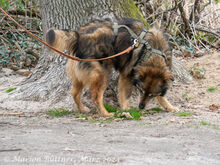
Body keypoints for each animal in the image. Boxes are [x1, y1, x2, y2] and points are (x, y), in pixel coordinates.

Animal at [46, 17, 179, 116]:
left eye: (151, 94)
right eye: (141, 90)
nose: (141, 107)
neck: (153, 53)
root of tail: (79, 37)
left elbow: (162, 97)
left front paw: (170, 107)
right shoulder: (127, 75)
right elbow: (125, 95)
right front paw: (126, 110)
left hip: (81, 74)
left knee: (74, 92)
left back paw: (83, 109)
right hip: (102, 74)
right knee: (96, 96)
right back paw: (105, 114)